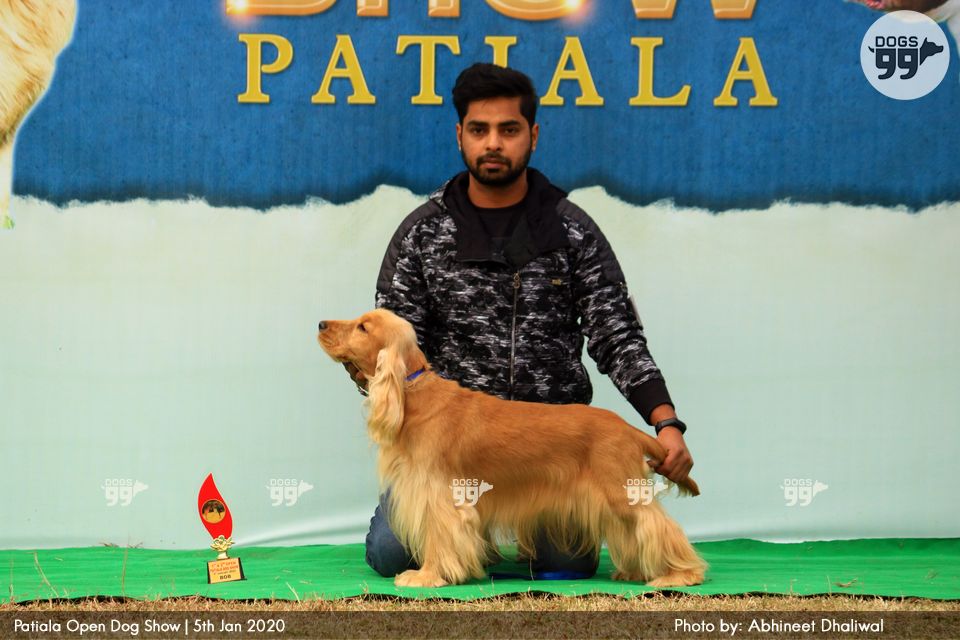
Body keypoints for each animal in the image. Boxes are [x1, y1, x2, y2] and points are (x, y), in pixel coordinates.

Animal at [318, 308, 706, 588]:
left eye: (363, 327)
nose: (321, 324)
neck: (413, 393)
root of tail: (627, 428)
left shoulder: (439, 494)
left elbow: (437, 538)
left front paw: (426, 576)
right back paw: (635, 572)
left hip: (620, 492)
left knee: (660, 526)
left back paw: (681, 574)